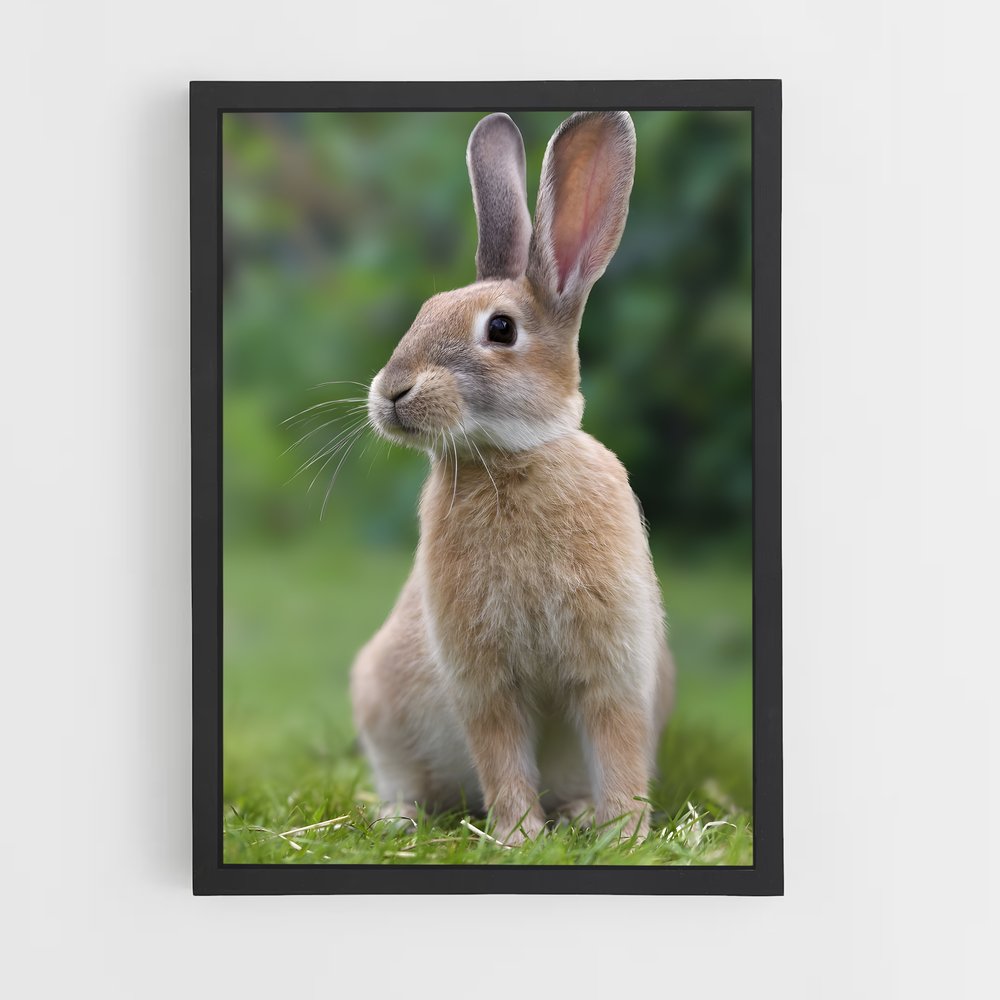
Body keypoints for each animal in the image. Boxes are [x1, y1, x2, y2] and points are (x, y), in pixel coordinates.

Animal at [351, 110, 675, 845]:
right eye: (423, 311)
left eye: (501, 329)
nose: (391, 392)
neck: (507, 460)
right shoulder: (483, 677)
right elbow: (500, 751)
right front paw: (519, 836)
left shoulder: (613, 664)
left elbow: (617, 744)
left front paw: (624, 833)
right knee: (407, 780)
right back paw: (399, 818)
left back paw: (580, 814)